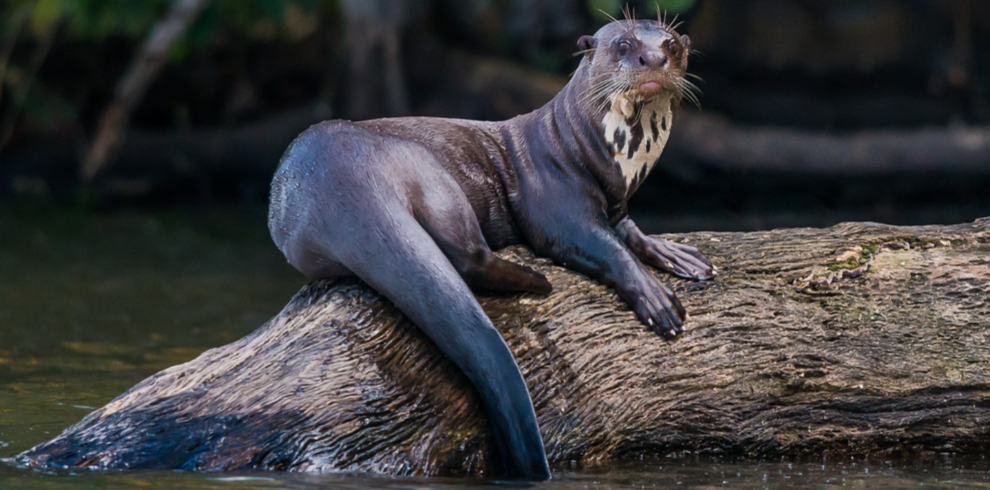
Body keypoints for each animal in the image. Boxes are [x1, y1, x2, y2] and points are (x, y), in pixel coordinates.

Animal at [268, 17, 716, 480]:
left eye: (671, 45)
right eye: (624, 45)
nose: (654, 58)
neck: (593, 152)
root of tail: (338, 181)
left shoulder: (617, 204)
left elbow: (631, 232)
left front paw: (678, 255)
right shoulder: (555, 203)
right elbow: (602, 246)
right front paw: (656, 298)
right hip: (428, 172)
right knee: (468, 257)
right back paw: (537, 281)